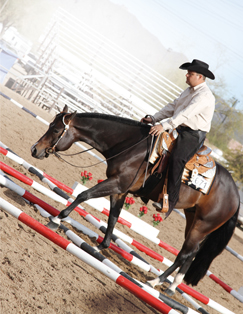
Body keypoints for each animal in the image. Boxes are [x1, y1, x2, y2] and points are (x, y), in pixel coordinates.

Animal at [30, 105, 239, 294]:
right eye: (50, 125)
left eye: (56, 130)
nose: (34, 149)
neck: (131, 146)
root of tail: (236, 194)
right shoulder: (120, 190)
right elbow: (113, 217)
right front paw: (101, 246)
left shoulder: (117, 183)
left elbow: (84, 195)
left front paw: (56, 220)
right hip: (193, 218)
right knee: (192, 252)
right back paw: (171, 287)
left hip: (202, 224)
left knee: (185, 253)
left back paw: (155, 281)